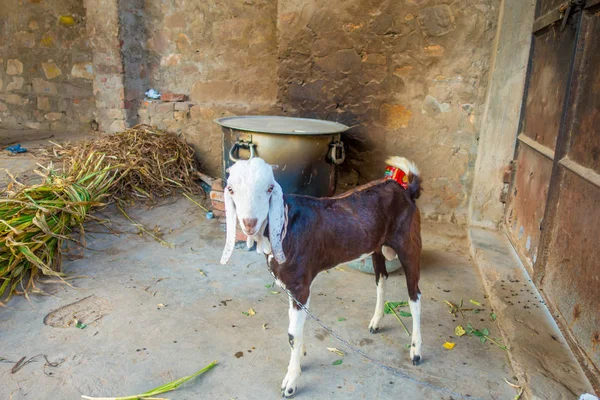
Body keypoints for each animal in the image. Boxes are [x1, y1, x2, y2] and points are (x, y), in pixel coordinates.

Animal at [220, 156, 422, 396]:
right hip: (377, 248)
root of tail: (406, 190)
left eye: (269, 188)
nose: (249, 223)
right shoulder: (291, 287)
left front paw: (290, 382)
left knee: (414, 295)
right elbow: (294, 330)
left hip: (409, 244)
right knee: (381, 279)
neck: (285, 227)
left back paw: (416, 351)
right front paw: (299, 358)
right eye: (231, 189)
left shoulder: (300, 286)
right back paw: (376, 322)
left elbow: (291, 334)